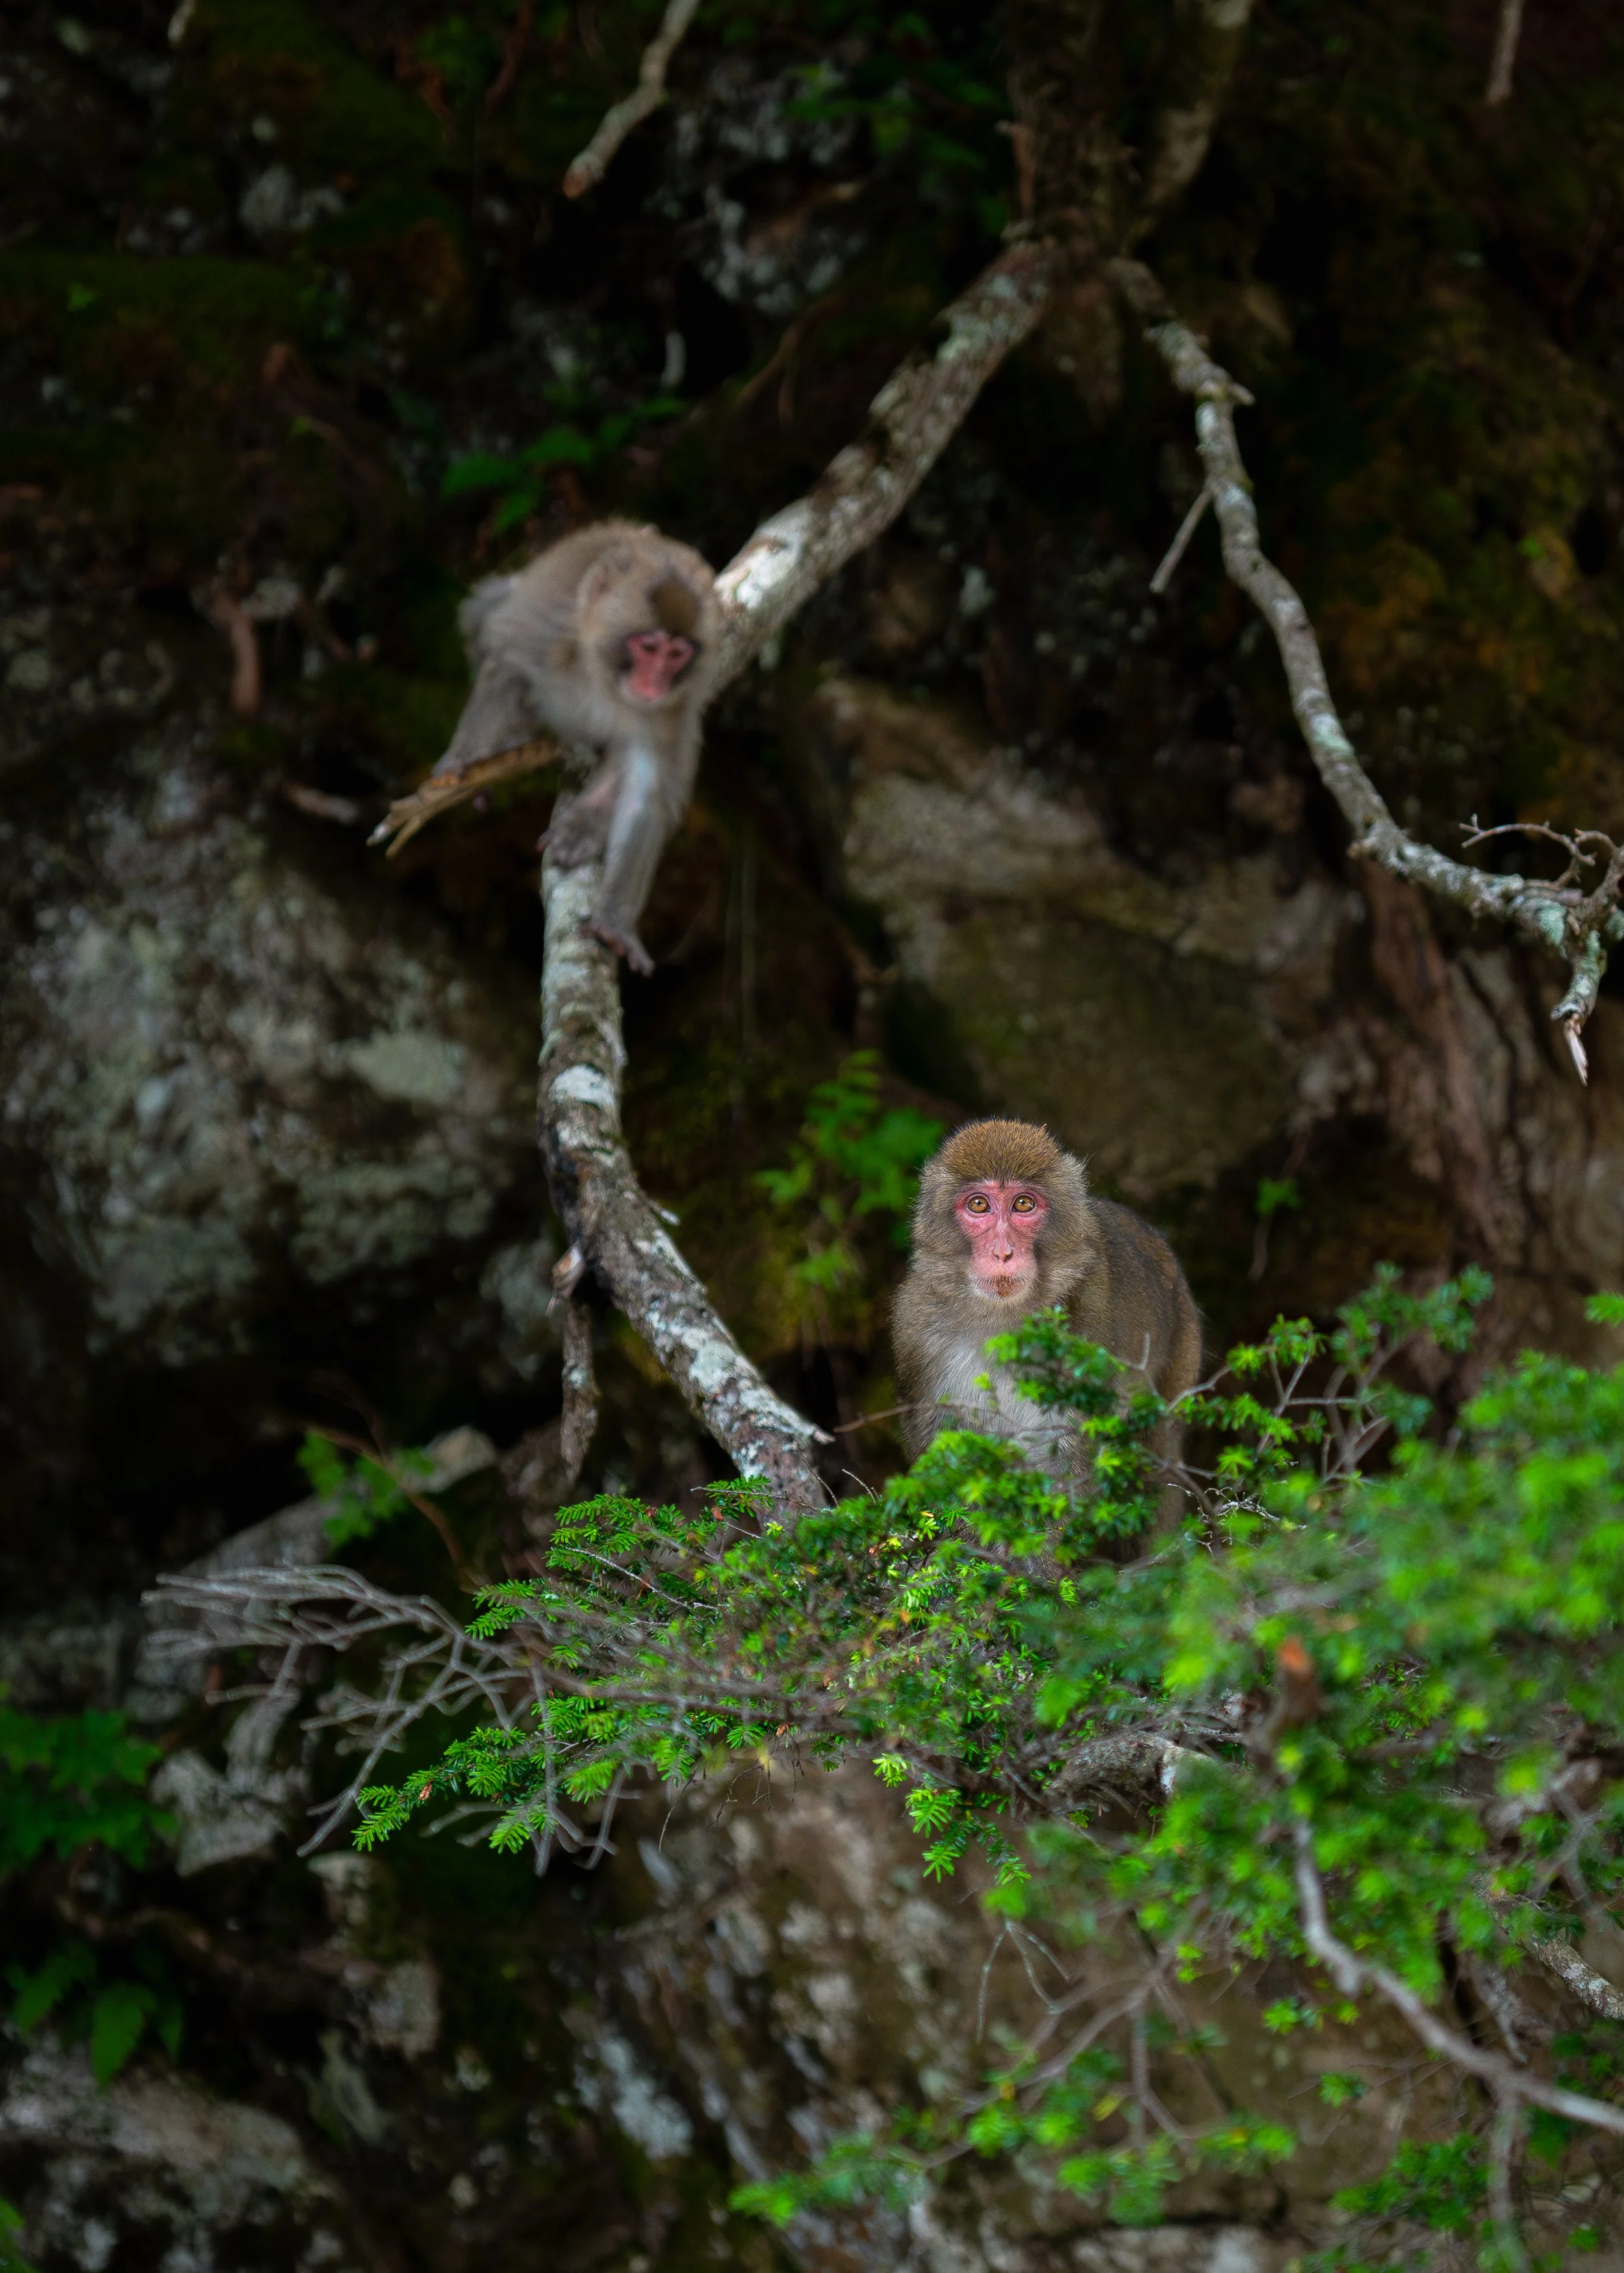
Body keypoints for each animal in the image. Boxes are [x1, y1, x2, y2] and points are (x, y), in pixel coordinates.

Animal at [433, 521, 721, 974]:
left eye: (677, 654)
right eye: (649, 647)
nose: (654, 685)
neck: (603, 676)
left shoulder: (672, 710)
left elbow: (647, 791)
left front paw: (615, 922)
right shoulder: (546, 632)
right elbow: (505, 669)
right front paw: (466, 759)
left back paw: (585, 824)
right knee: (487, 614)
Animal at [893, 1118, 1202, 1514]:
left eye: (1024, 1204)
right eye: (979, 1204)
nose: (1003, 1253)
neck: (1003, 1322)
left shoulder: (1086, 1333)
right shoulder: (916, 1332)